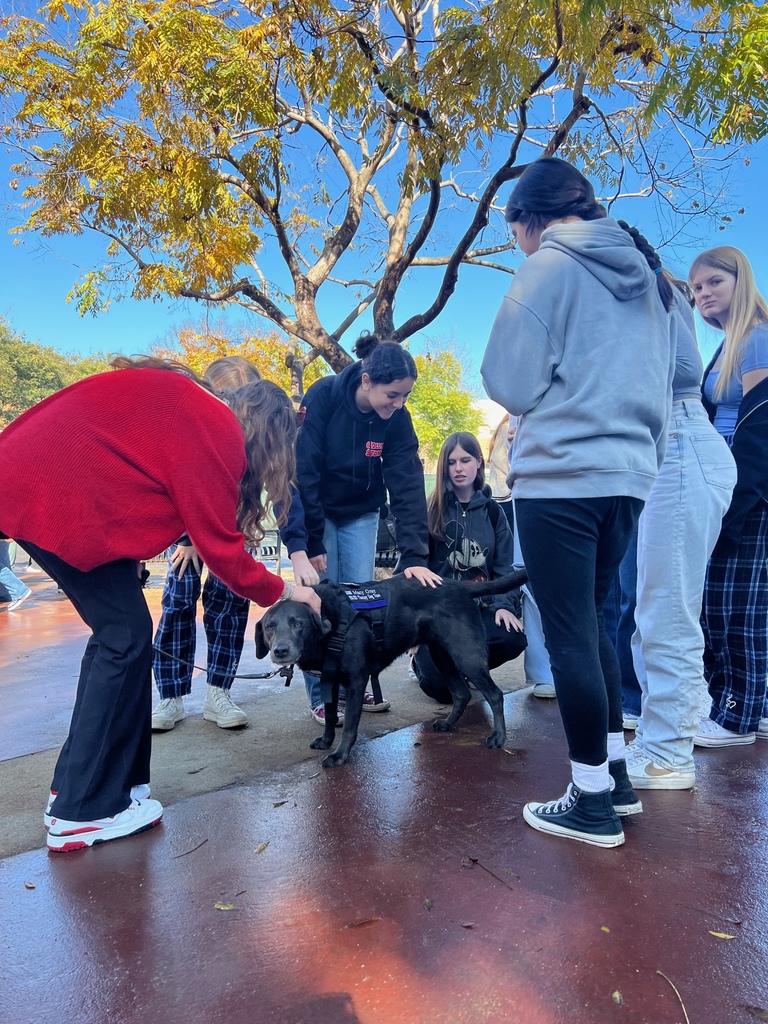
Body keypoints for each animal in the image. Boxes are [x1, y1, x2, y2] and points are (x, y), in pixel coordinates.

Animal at [259, 573, 528, 765]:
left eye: (298, 624)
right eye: (269, 627)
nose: (280, 651)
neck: (331, 620)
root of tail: (460, 586)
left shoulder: (356, 681)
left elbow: (349, 726)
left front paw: (340, 755)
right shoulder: (330, 680)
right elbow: (331, 717)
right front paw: (326, 741)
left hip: (466, 654)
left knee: (494, 694)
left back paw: (498, 737)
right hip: (441, 656)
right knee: (462, 693)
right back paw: (448, 724)